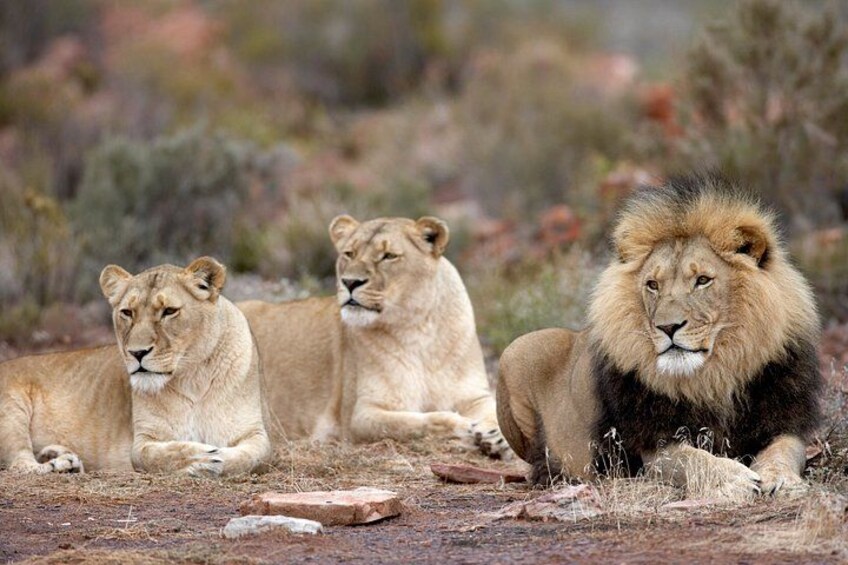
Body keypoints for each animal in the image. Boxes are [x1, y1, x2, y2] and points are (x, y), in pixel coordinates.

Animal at [0, 257, 272, 476]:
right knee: (20, 465)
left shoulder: (255, 433)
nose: (137, 353)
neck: (192, 376)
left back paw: (62, 458)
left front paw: (217, 458)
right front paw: (197, 458)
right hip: (11, 412)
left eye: (169, 311)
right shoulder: (143, 440)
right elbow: (153, 455)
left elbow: (254, 457)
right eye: (127, 312)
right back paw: (58, 465)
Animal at [239, 215, 510, 458]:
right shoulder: (361, 414)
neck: (419, 329)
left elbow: (494, 411)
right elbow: (417, 422)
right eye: (349, 253)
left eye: (388, 256)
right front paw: (465, 428)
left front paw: (496, 436)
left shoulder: (473, 395)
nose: (350, 282)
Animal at [497, 174, 822, 499]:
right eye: (652, 284)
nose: (668, 327)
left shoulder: (784, 421)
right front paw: (735, 478)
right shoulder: (653, 445)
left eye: (702, 280)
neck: (715, 376)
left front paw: (781, 479)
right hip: (516, 350)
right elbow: (693, 459)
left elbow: (785, 451)